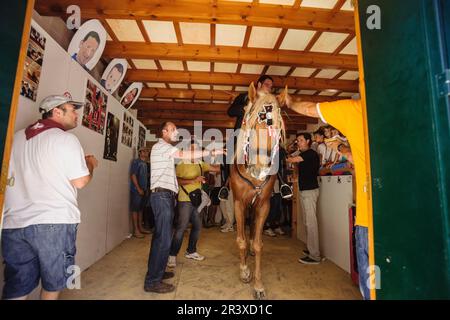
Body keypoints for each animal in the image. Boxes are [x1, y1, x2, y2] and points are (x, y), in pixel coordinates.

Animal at [230, 83, 286, 300]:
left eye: (279, 127)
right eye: (256, 120)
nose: (262, 168)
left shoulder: (263, 205)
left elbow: (257, 244)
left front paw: (259, 285)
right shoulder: (238, 203)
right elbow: (241, 241)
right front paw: (245, 271)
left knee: (253, 229)